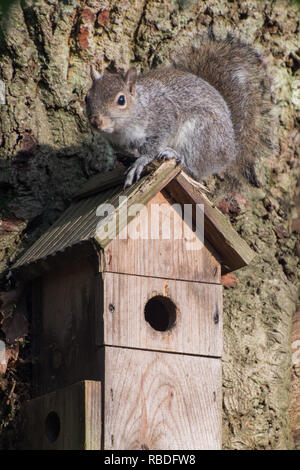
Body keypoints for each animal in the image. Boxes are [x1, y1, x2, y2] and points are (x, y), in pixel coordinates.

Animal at [85, 35, 272, 189]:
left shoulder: (164, 116)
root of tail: (231, 150)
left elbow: (154, 145)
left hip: (200, 136)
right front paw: (129, 158)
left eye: (121, 100)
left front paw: (141, 161)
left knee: (193, 169)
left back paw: (175, 155)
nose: (96, 121)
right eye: (87, 98)